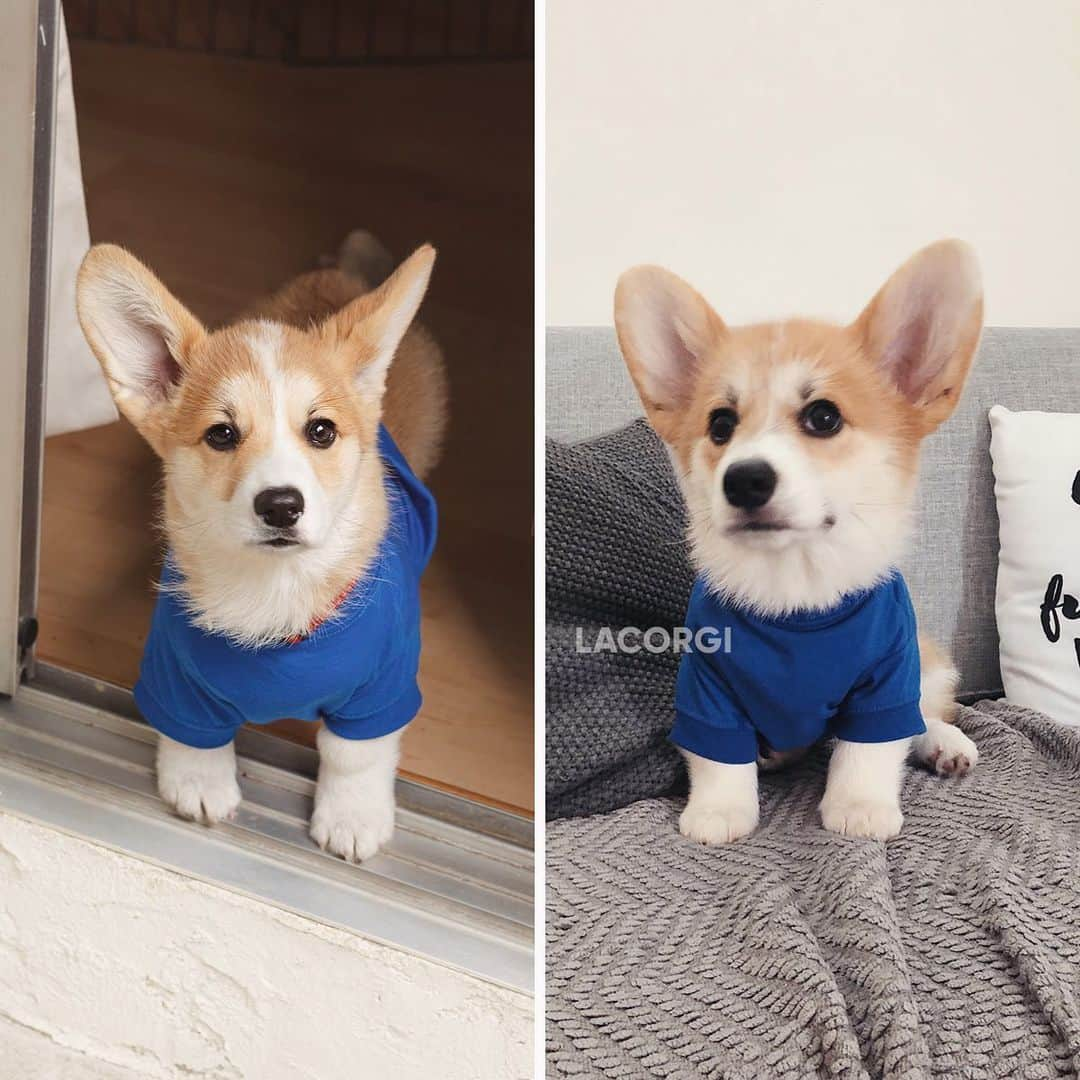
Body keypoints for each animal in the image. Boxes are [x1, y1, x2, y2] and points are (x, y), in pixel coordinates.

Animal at [77, 230, 447, 859]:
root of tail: (341, 276)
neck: (276, 593)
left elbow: (353, 755)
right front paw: (198, 786)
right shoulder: (174, 679)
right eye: (222, 434)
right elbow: (193, 738)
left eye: (320, 430)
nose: (280, 505)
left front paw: (352, 817)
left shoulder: (382, 689)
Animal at [613, 238, 984, 842]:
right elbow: (719, 760)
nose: (744, 480)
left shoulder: (886, 677)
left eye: (823, 417)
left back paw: (945, 744)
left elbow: (870, 748)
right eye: (720, 425)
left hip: (926, 662)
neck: (795, 589)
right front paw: (719, 811)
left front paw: (859, 808)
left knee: (923, 715)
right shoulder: (707, 689)